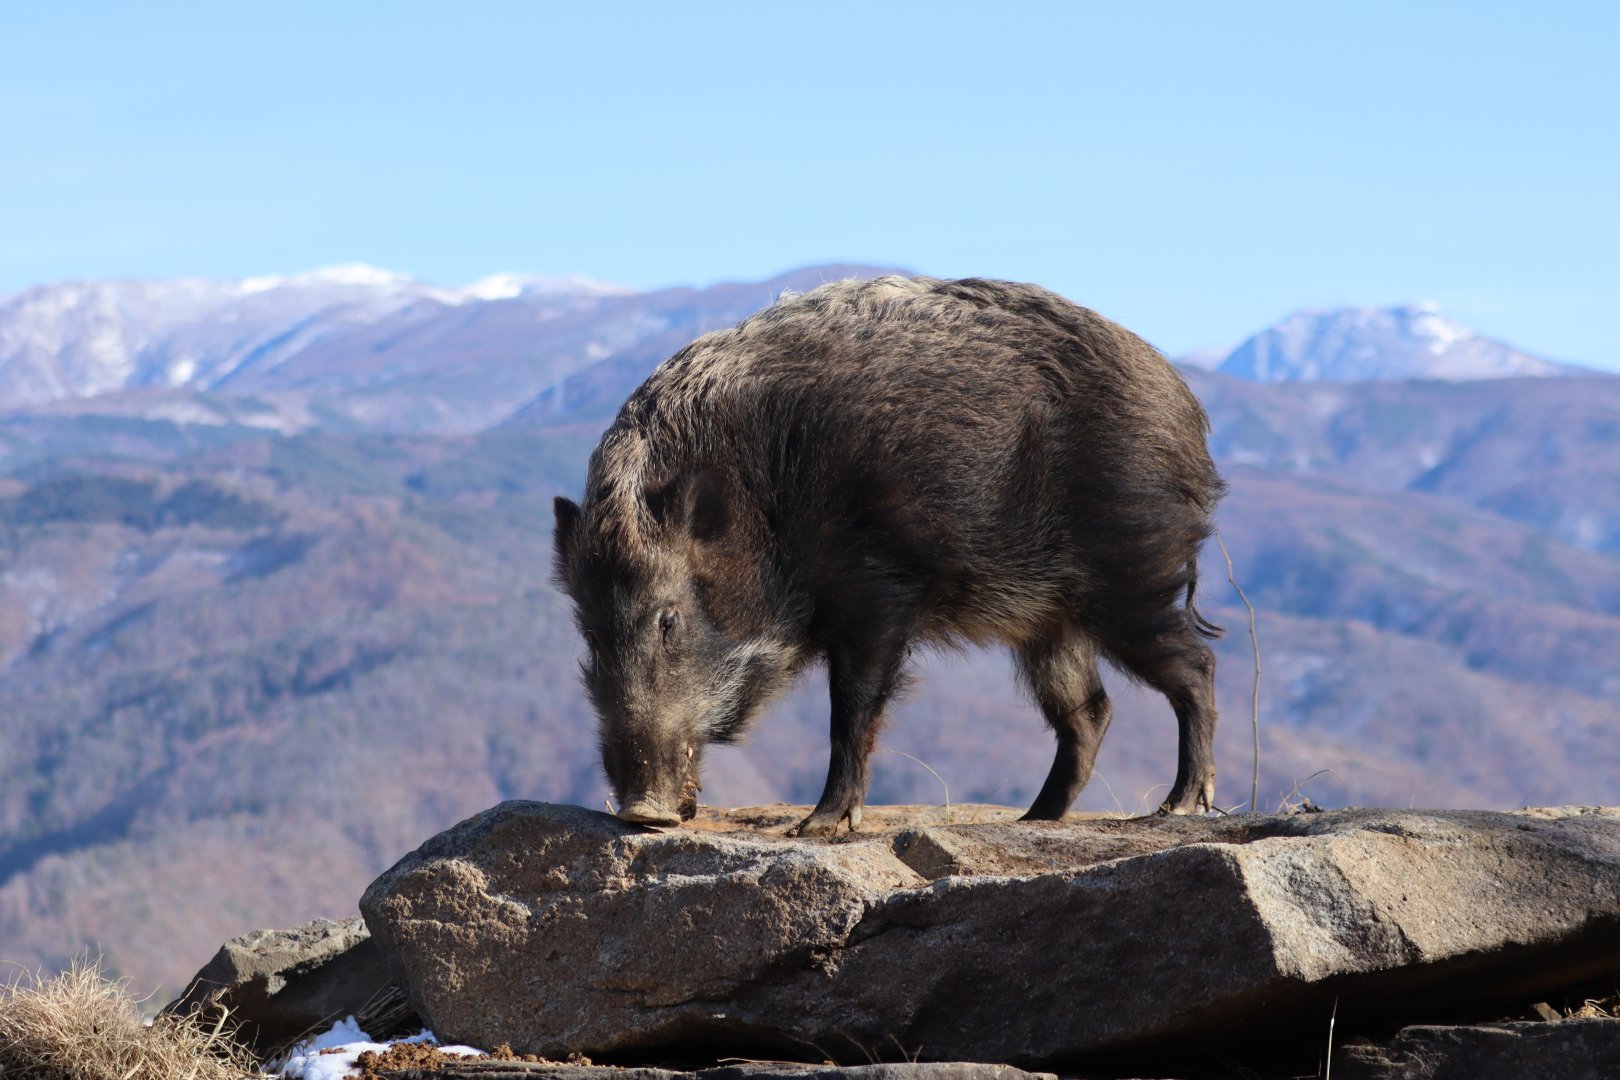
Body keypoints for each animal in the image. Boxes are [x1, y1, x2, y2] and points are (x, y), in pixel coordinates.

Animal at [552, 276, 1225, 837]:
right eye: (590, 633)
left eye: (669, 620)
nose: (641, 811)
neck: (767, 507)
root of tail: (1185, 410)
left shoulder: (879, 589)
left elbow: (851, 711)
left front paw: (816, 828)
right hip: (1047, 621)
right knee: (1089, 711)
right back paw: (1035, 819)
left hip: (1130, 570)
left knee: (1196, 666)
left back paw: (1177, 806)